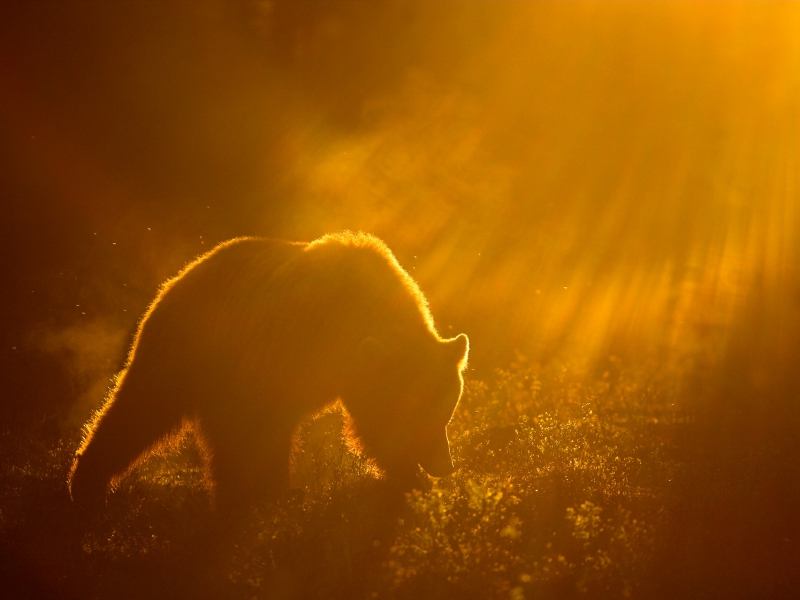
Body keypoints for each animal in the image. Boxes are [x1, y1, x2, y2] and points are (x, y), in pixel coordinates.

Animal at [68, 231, 469, 512]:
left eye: (447, 412)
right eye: (424, 416)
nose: (445, 465)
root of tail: (177, 279)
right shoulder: (292, 356)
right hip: (188, 353)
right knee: (141, 409)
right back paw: (87, 485)